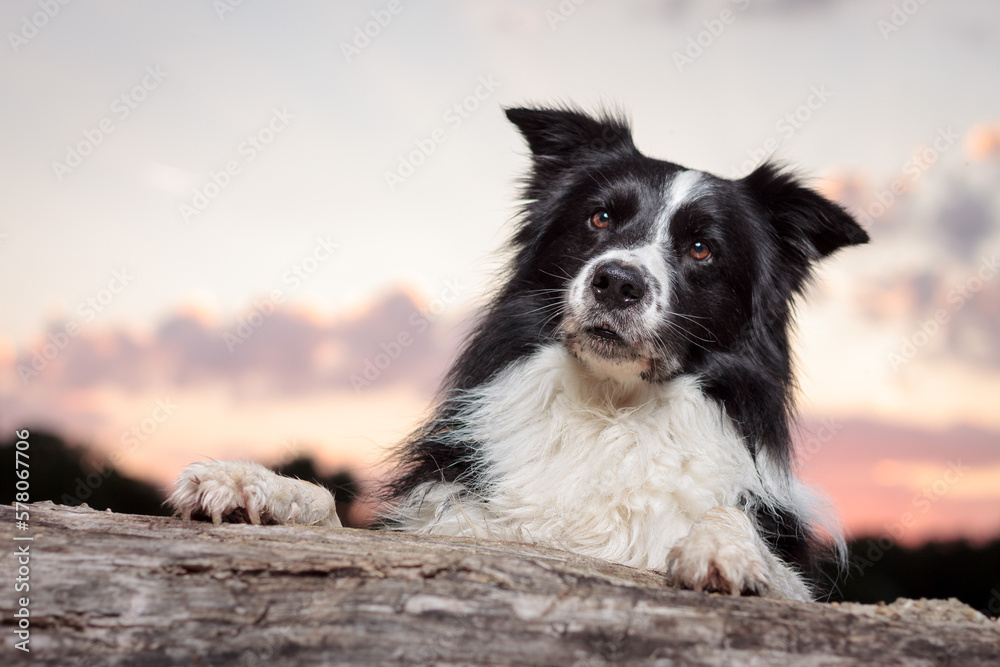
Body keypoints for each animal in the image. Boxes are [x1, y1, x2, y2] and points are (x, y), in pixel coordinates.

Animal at [172, 107, 868, 604]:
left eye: (702, 249)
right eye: (600, 218)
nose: (617, 282)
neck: (606, 409)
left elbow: (750, 543)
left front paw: (728, 550)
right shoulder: (452, 523)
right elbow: (334, 513)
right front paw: (256, 485)